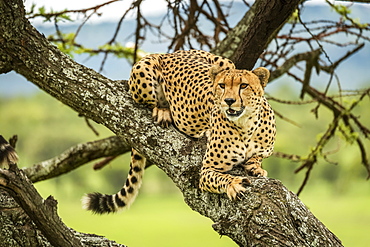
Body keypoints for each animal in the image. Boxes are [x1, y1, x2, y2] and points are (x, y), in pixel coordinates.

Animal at [83, 49, 274, 213]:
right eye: (221, 86)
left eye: (243, 86)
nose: (228, 101)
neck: (246, 124)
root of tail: (172, 52)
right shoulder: (206, 171)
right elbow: (221, 177)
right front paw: (235, 183)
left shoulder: (266, 149)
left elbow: (259, 156)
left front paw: (256, 167)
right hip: (142, 69)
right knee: (148, 103)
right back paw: (163, 111)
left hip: (226, 62)